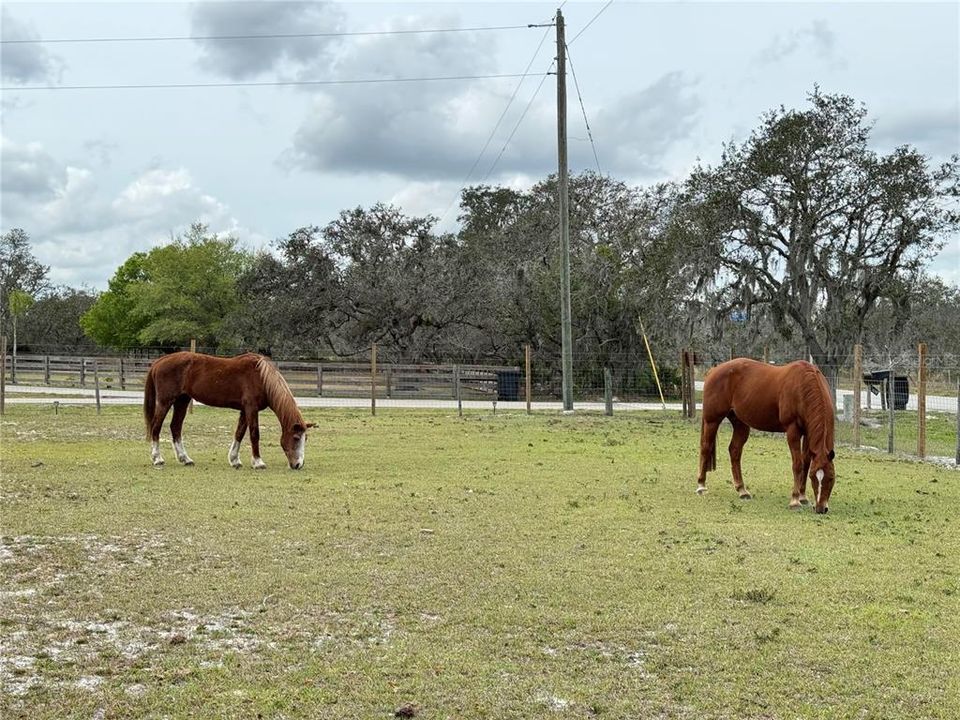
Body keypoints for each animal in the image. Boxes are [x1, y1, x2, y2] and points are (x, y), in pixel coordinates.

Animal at [143, 350, 316, 472]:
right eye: (296, 438)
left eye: (306, 438)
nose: (298, 464)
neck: (261, 377)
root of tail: (159, 361)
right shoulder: (251, 408)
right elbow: (254, 434)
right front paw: (258, 462)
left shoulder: (244, 411)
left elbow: (239, 433)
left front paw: (234, 460)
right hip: (165, 402)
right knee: (156, 427)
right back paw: (157, 458)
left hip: (182, 401)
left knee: (175, 427)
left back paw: (185, 459)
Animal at [692, 358, 836, 512]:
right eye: (814, 478)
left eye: (831, 478)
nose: (821, 508)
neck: (803, 386)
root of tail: (713, 370)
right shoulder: (793, 431)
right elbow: (797, 464)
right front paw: (795, 500)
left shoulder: (808, 433)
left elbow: (806, 462)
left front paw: (803, 497)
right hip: (712, 421)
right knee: (706, 447)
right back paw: (701, 486)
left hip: (740, 424)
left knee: (735, 451)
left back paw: (742, 490)